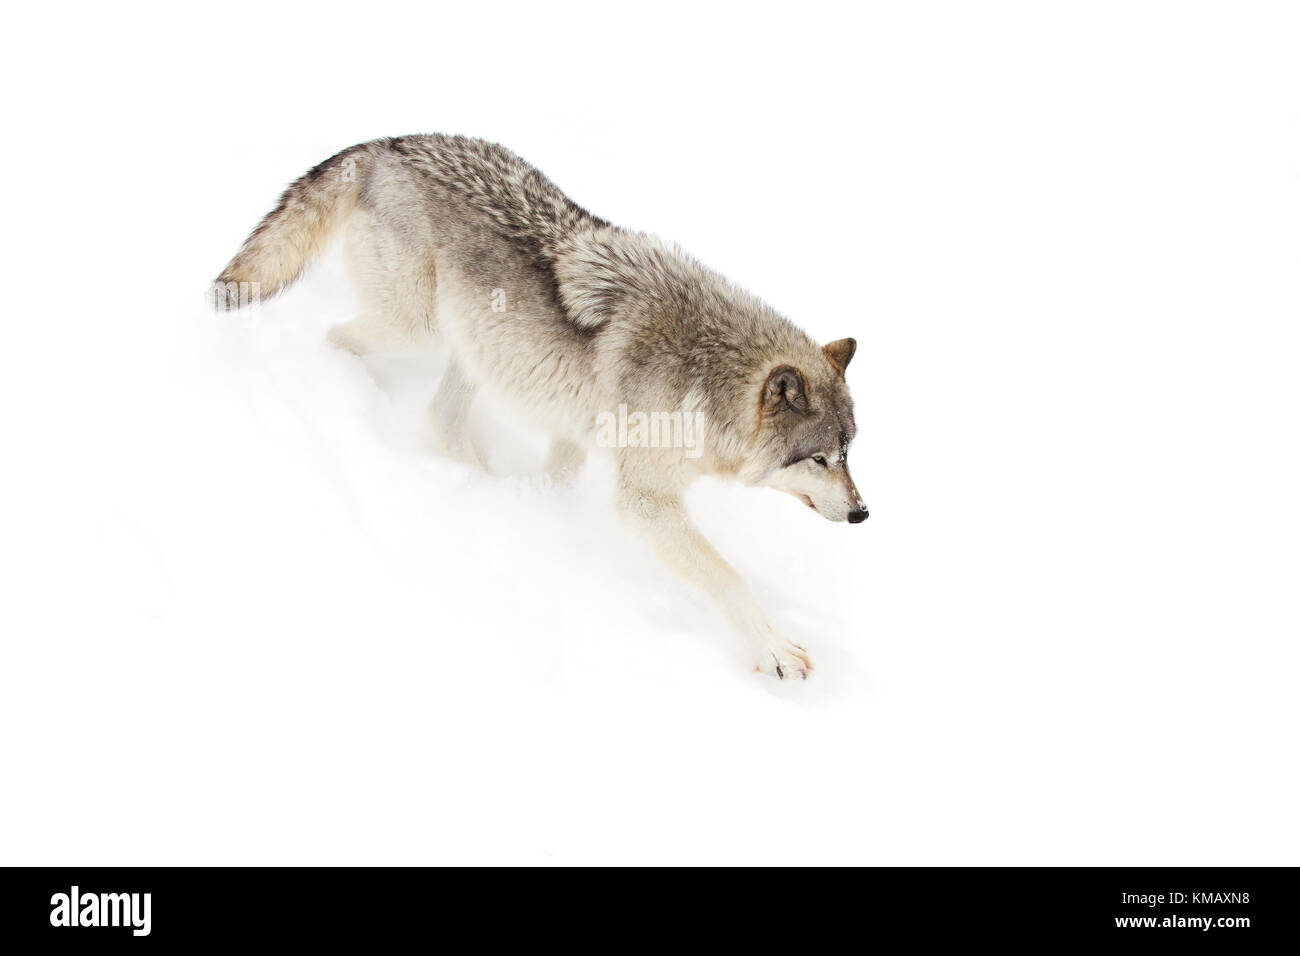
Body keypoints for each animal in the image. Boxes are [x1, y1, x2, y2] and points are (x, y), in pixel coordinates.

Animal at [213, 135, 868, 678]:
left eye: (847, 451)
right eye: (818, 459)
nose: (863, 514)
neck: (704, 375)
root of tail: (388, 144)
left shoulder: (574, 437)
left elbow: (558, 482)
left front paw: (544, 515)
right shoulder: (645, 501)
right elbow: (728, 577)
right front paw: (773, 650)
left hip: (478, 349)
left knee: (441, 418)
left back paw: (480, 483)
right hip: (414, 330)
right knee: (333, 340)